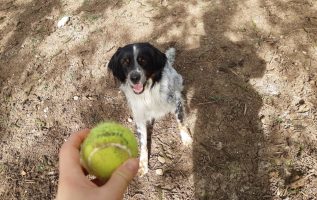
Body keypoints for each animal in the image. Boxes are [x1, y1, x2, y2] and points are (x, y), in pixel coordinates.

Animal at [107, 42, 191, 175]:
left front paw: (186, 138)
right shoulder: (139, 117)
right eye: (125, 62)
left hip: (178, 79)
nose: (134, 77)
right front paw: (143, 164)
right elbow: (143, 143)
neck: (147, 93)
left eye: (143, 60)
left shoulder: (176, 102)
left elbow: (181, 122)